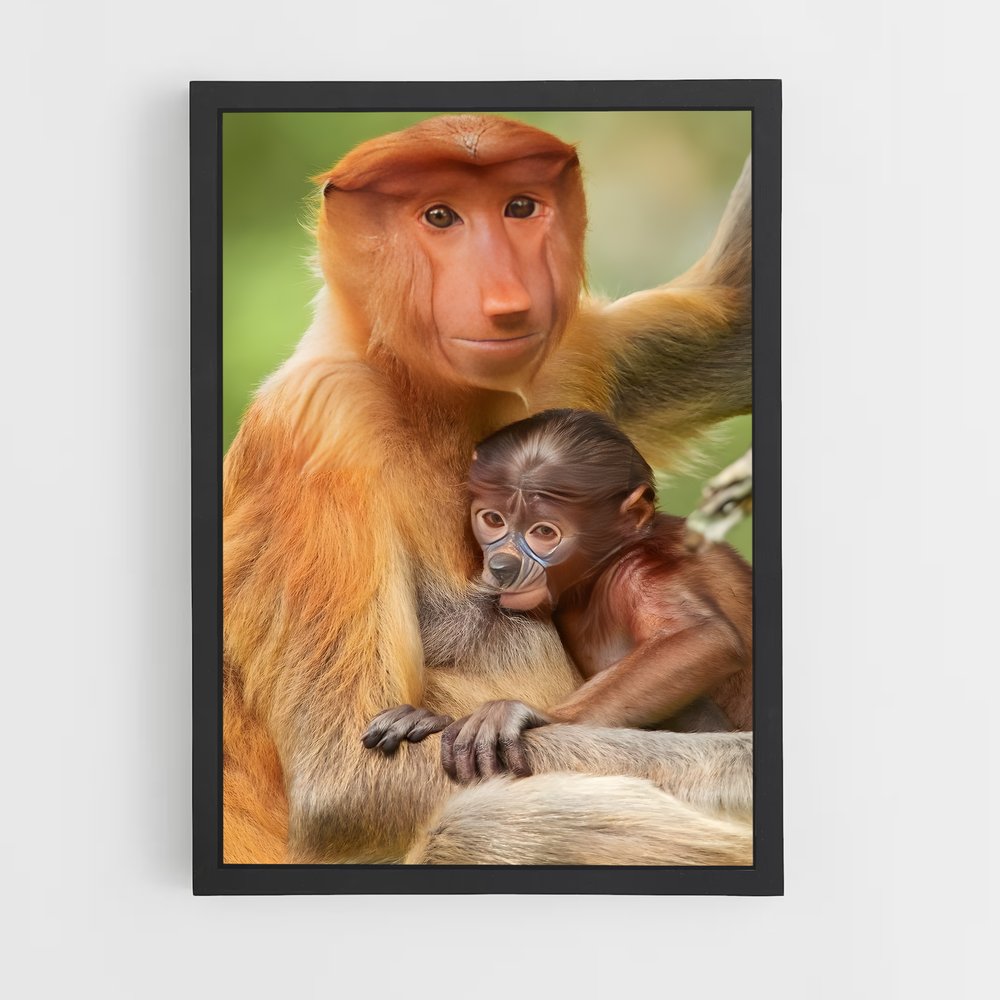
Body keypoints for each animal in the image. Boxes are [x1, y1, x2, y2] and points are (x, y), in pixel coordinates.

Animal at [363, 408, 751, 783]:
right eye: (494, 519)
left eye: (544, 532)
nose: (502, 565)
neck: (602, 568)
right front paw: (428, 718)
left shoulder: (635, 573)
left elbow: (705, 638)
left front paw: (533, 714)